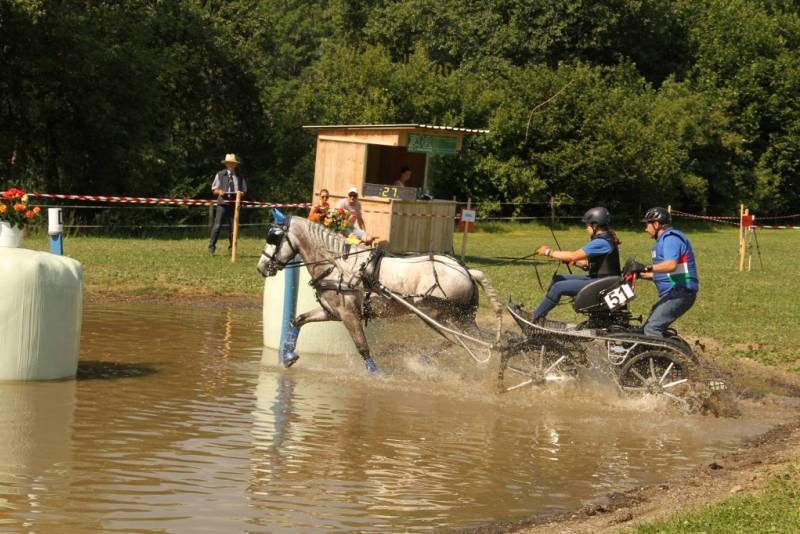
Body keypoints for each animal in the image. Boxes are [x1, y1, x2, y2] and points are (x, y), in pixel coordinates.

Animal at [256, 216, 500, 374]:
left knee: (464, 341)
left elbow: (362, 347)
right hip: (459, 318)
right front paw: (288, 357)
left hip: (436, 315)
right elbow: (298, 320)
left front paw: (377, 376)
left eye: (274, 239)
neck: (338, 266)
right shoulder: (332, 312)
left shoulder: (349, 315)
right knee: (472, 341)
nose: (261, 267)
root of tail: (466, 271)